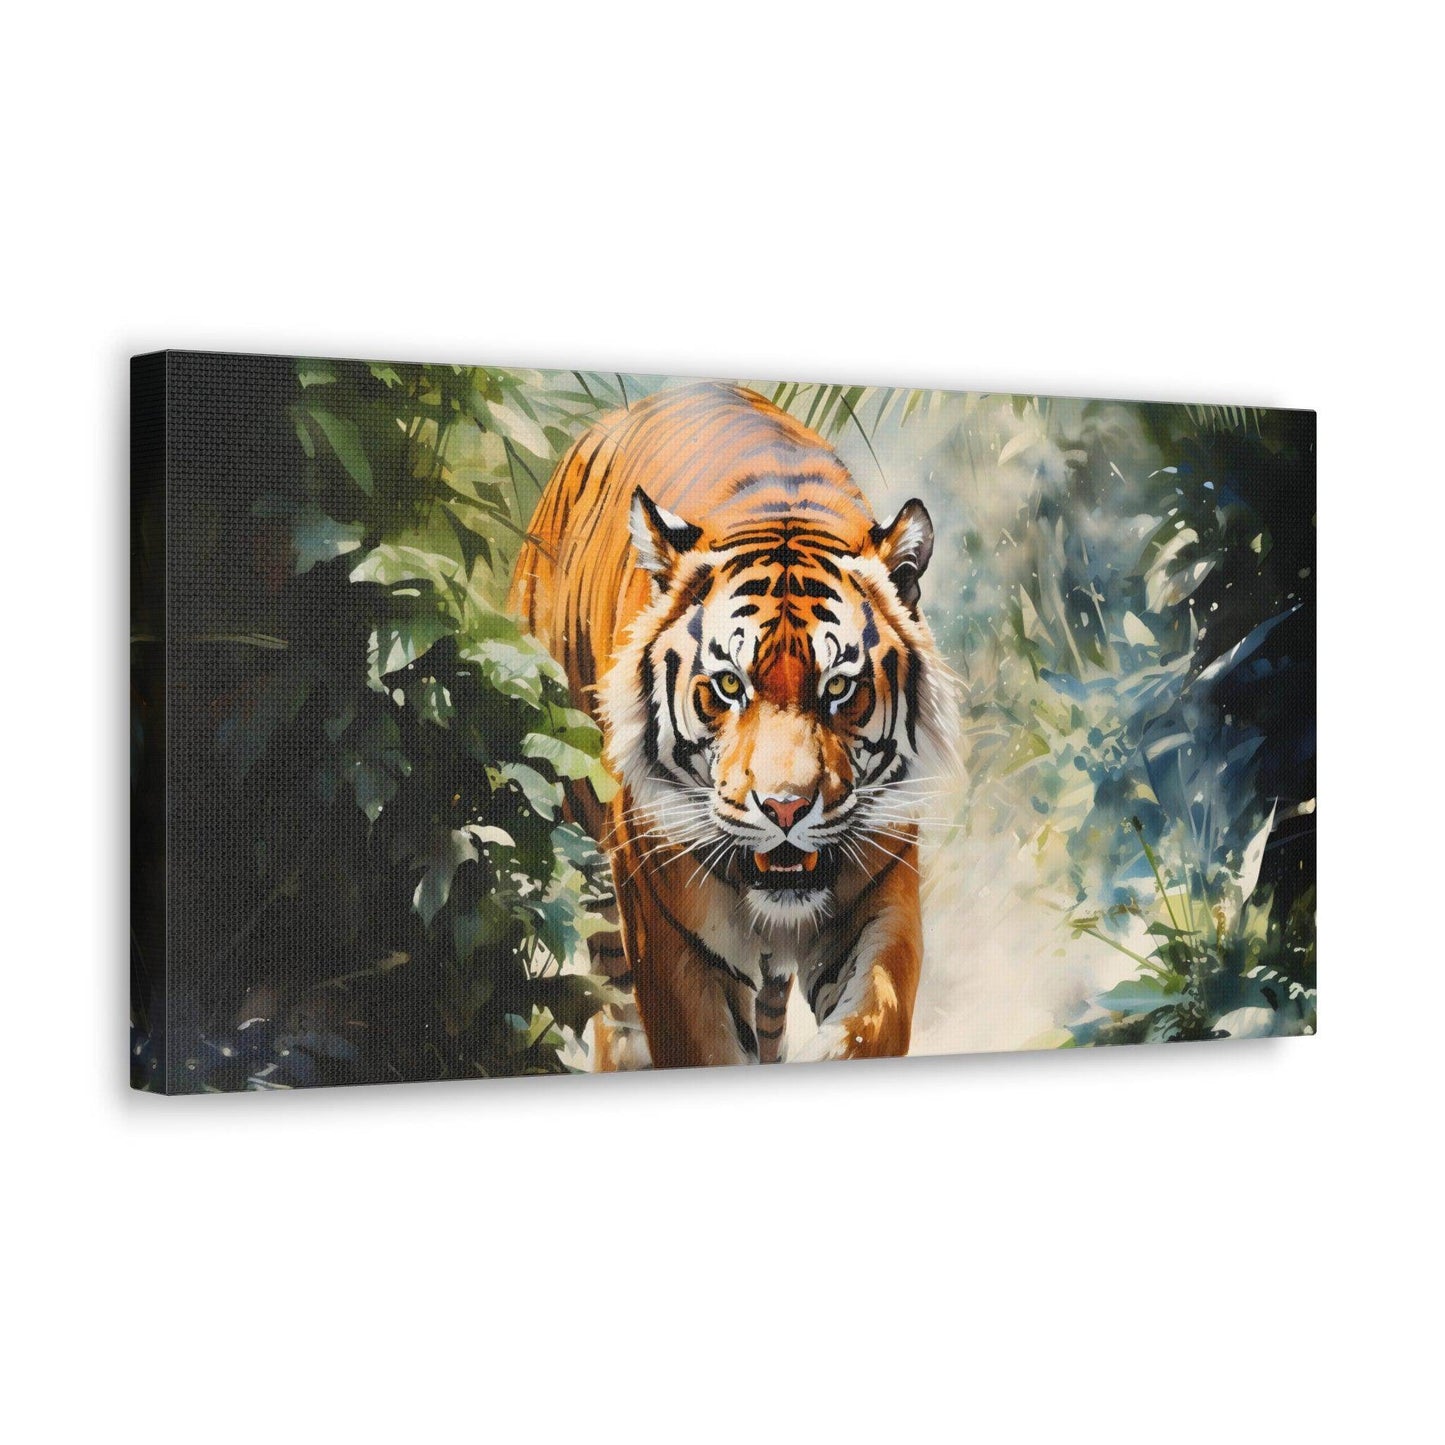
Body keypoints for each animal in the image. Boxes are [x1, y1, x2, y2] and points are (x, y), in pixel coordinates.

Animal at [509, 381, 957, 1070]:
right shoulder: (671, 936)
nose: (785, 808)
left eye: (839, 688)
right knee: (615, 1010)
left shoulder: (881, 899)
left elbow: (870, 1023)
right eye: (728, 685)